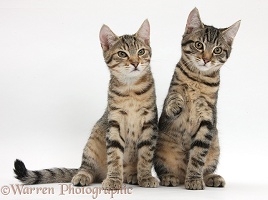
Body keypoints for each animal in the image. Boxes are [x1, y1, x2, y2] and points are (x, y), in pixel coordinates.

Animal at [14, 19, 159, 190]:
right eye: (122, 54)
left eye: (141, 51)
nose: (135, 63)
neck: (131, 90)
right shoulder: (114, 123)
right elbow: (114, 156)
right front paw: (114, 179)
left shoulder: (149, 123)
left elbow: (146, 154)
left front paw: (145, 176)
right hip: (92, 143)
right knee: (87, 167)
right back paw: (83, 176)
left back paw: (132, 175)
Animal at [153, 7, 241, 190]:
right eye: (199, 45)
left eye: (217, 50)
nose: (206, 59)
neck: (198, 79)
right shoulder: (174, 88)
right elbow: (174, 96)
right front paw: (176, 105)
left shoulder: (207, 117)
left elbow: (197, 157)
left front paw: (194, 179)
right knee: (163, 169)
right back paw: (169, 177)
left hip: (215, 147)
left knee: (206, 168)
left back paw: (212, 178)